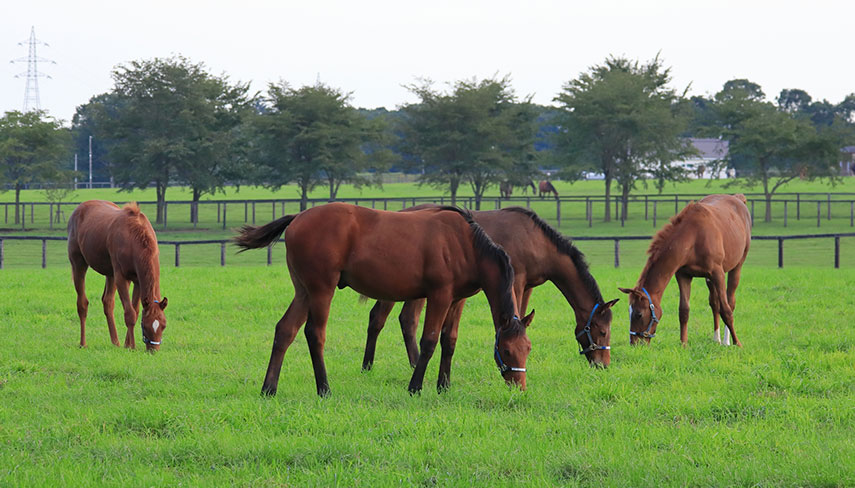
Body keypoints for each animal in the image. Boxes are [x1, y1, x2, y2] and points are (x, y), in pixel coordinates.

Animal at [67, 200, 169, 352]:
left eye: (163, 325)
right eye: (145, 325)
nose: (153, 350)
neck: (134, 237)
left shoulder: (137, 281)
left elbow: (135, 310)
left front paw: (127, 344)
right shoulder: (121, 278)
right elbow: (130, 313)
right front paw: (132, 346)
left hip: (110, 274)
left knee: (108, 302)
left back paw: (115, 342)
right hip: (79, 264)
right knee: (82, 304)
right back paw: (83, 343)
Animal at [231, 202, 532, 396]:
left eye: (527, 349)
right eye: (506, 350)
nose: (519, 387)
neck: (465, 242)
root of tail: (298, 217)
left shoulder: (457, 300)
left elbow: (449, 341)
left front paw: (444, 386)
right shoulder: (439, 295)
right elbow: (429, 340)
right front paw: (415, 387)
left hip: (303, 291)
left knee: (285, 330)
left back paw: (269, 388)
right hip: (320, 289)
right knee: (314, 333)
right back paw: (324, 388)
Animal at [620, 194, 752, 346]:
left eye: (638, 314)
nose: (634, 343)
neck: (693, 237)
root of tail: (738, 198)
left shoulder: (718, 274)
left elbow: (726, 311)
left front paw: (738, 343)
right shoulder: (683, 275)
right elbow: (684, 311)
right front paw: (683, 343)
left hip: (736, 267)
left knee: (730, 302)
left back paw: (726, 341)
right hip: (709, 279)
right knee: (714, 303)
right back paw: (716, 338)